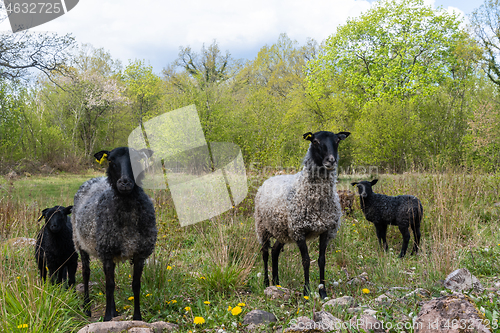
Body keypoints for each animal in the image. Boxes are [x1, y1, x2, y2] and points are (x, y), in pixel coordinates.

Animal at [72, 147, 156, 320]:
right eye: (110, 160)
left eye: (137, 159)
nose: (124, 182)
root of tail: (95, 178)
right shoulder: (106, 251)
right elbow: (109, 285)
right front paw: (106, 318)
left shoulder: (140, 253)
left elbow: (135, 285)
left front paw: (137, 317)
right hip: (80, 242)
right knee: (86, 273)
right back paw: (87, 308)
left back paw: (114, 310)